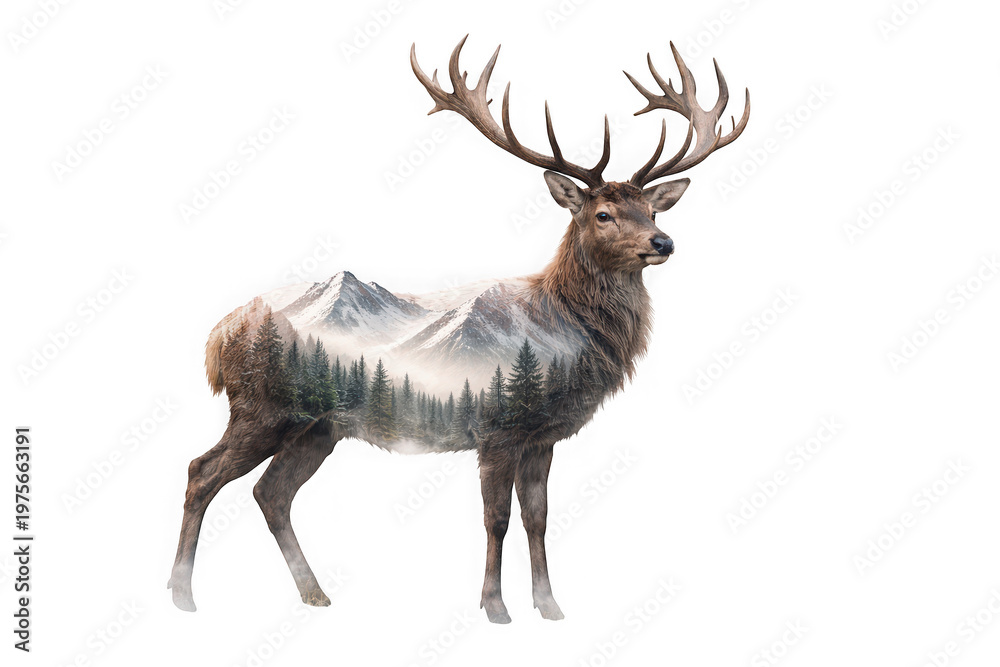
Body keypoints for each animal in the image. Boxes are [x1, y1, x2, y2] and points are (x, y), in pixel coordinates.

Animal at [168, 36, 749, 623]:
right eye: (603, 214)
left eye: (653, 209)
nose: (663, 243)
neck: (564, 332)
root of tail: (218, 334)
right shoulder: (496, 427)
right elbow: (497, 519)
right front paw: (494, 607)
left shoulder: (543, 437)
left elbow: (539, 518)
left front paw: (550, 605)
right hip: (262, 406)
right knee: (201, 471)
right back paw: (183, 594)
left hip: (318, 427)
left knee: (271, 492)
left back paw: (314, 592)